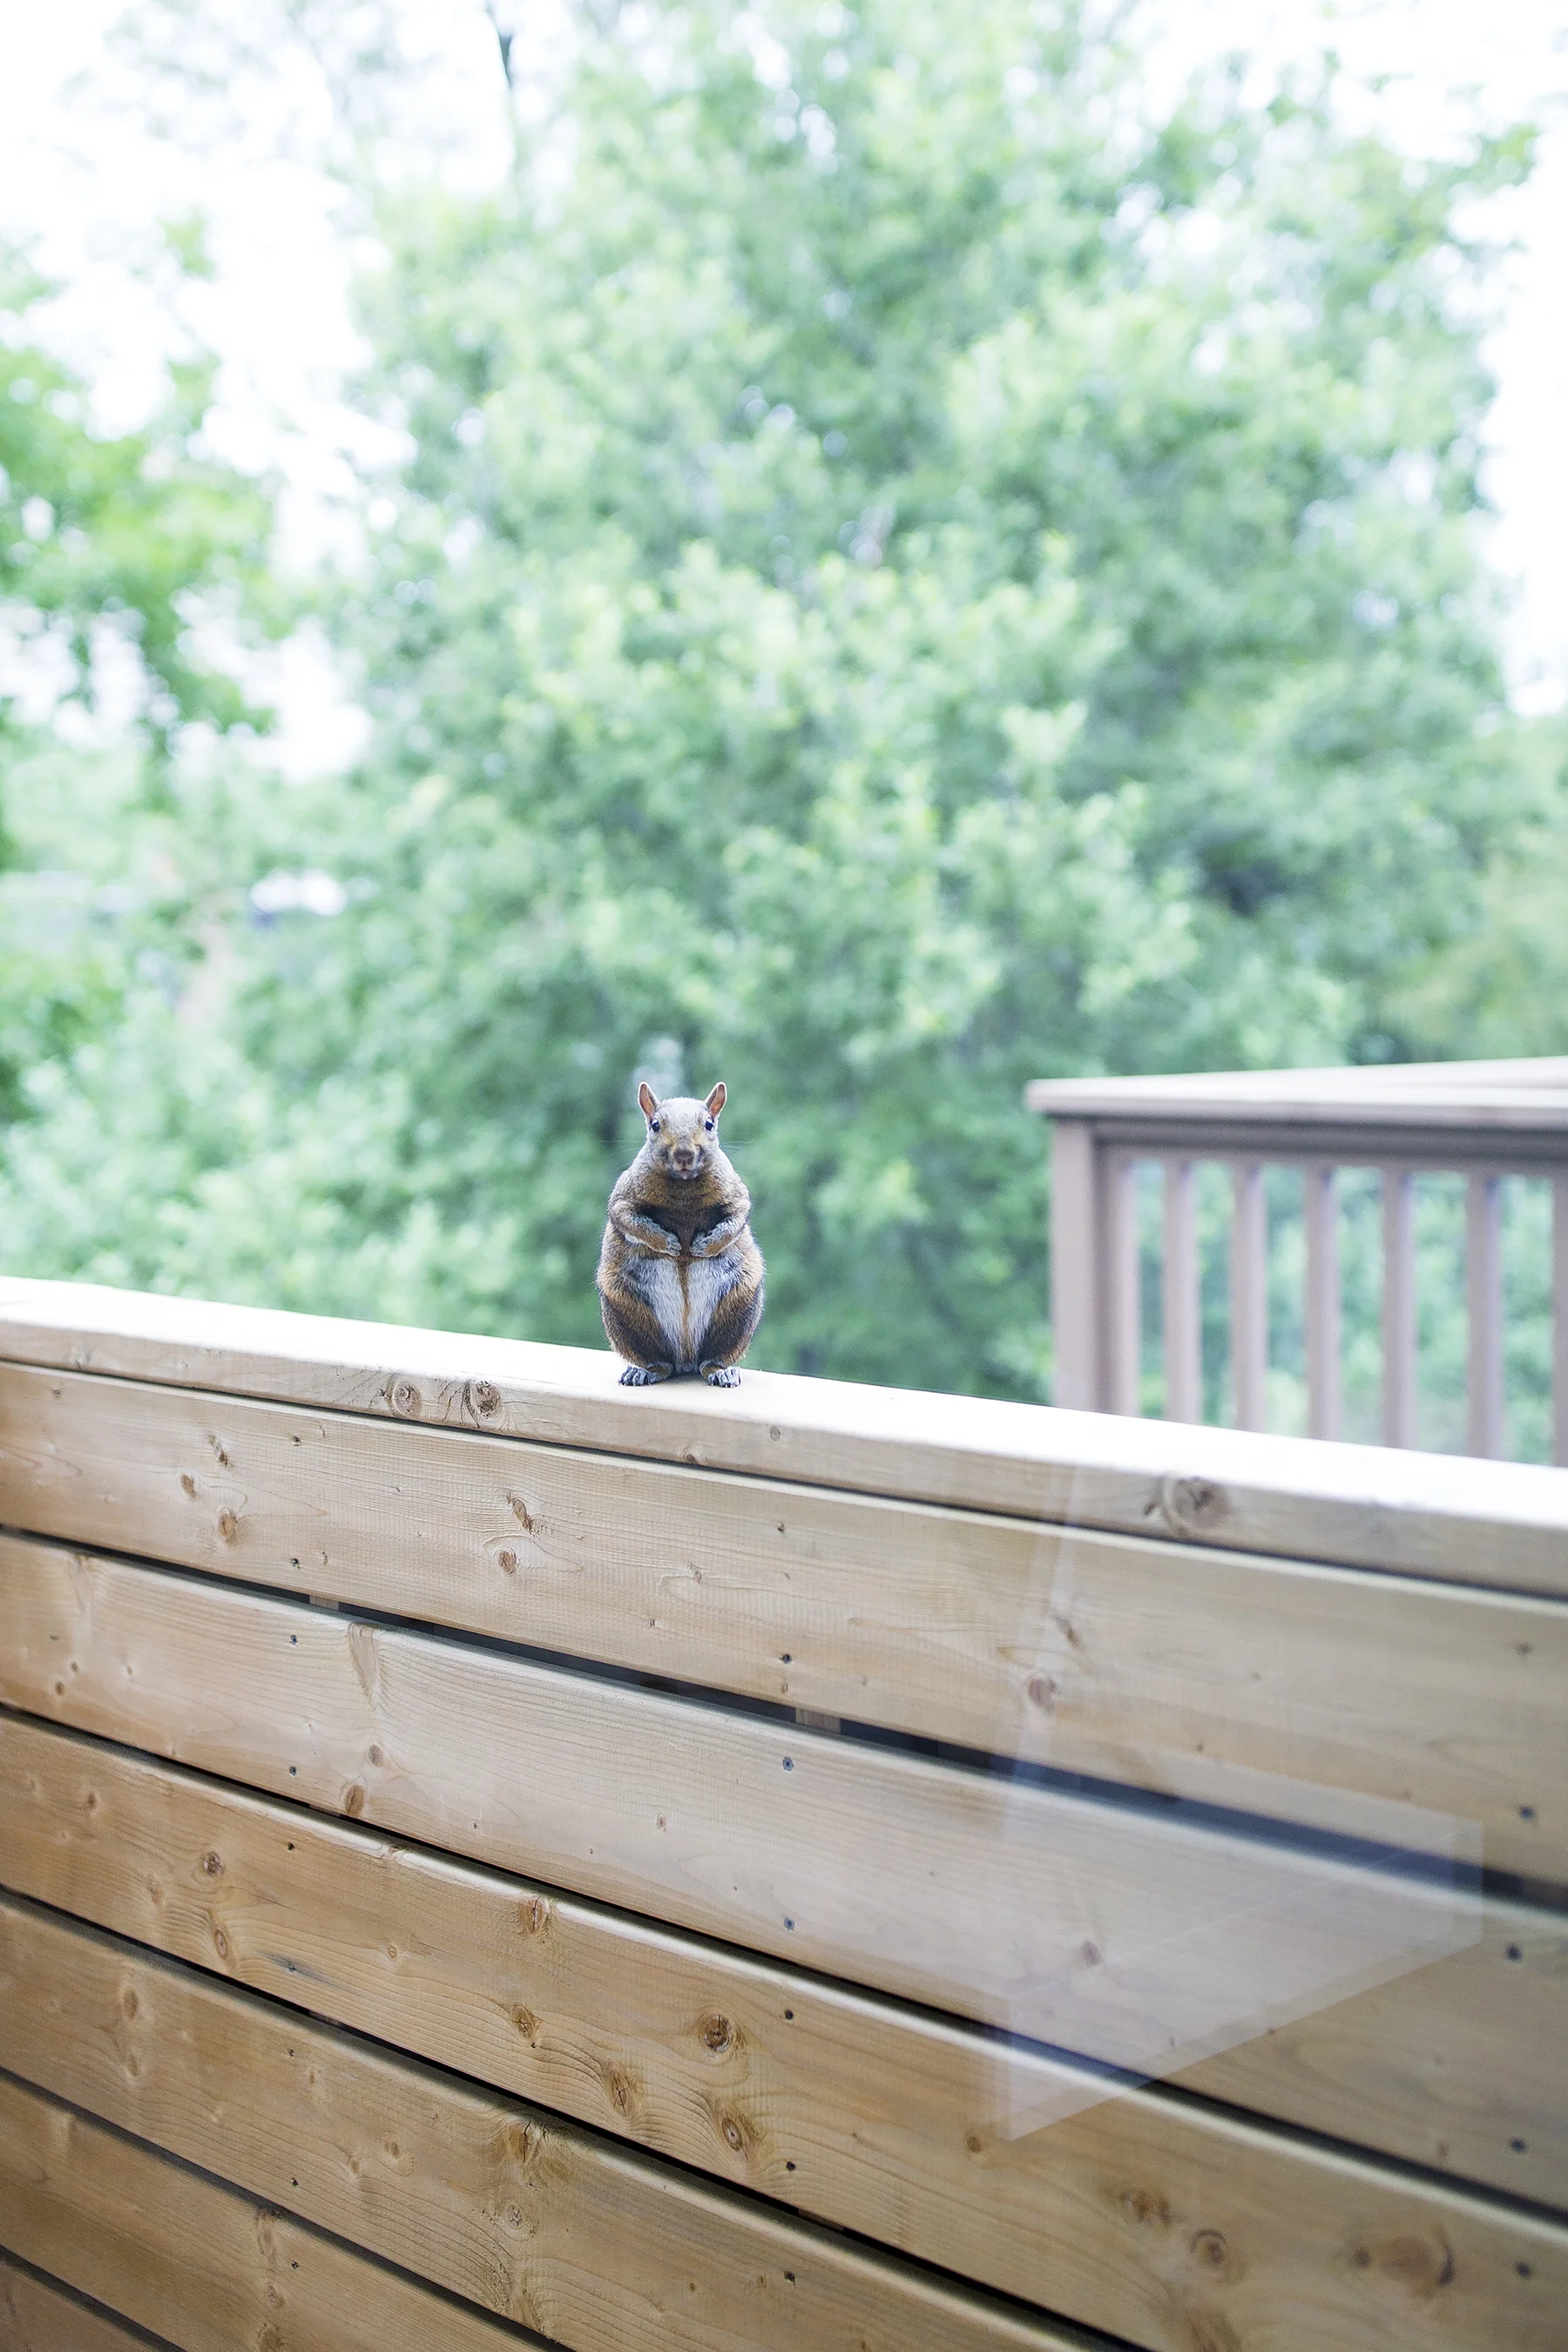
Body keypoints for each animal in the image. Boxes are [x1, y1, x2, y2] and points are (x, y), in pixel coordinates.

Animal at [597, 1080, 765, 1387]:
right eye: (655, 1125)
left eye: (709, 1124)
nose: (684, 1154)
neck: (683, 1185)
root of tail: (686, 1358)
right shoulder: (623, 1198)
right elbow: (628, 1220)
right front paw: (668, 1243)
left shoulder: (735, 1194)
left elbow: (736, 1218)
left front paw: (703, 1246)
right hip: (627, 1313)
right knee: (658, 1361)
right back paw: (645, 1370)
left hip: (737, 1309)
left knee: (713, 1358)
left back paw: (721, 1370)